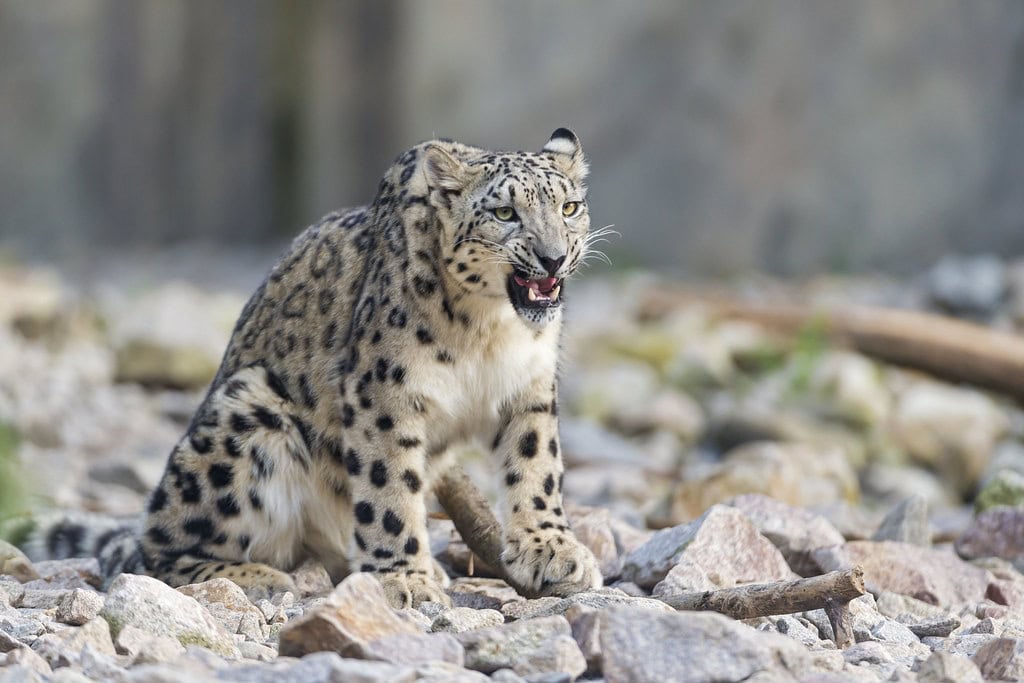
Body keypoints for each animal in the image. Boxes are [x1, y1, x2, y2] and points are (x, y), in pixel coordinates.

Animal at [28, 128, 603, 608]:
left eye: (570, 207)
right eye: (505, 213)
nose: (553, 257)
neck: (489, 330)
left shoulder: (528, 387)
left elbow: (536, 464)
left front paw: (552, 552)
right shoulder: (385, 391)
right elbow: (389, 488)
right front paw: (403, 578)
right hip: (246, 416)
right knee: (157, 549)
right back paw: (256, 577)